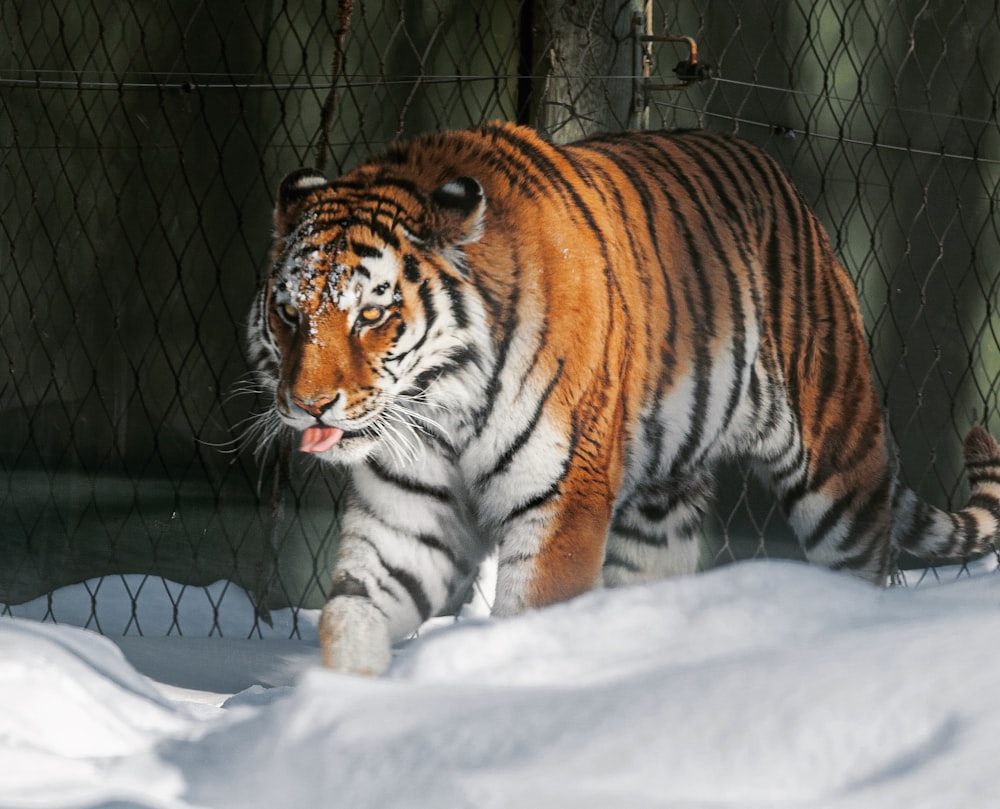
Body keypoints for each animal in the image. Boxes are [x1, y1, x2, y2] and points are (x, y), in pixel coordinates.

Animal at [246, 121, 1000, 676]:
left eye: (372, 316)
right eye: (288, 313)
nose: (309, 404)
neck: (440, 407)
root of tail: (794, 195)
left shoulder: (562, 498)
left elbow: (530, 614)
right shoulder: (410, 512)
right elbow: (349, 615)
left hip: (839, 472)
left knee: (862, 568)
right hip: (659, 509)